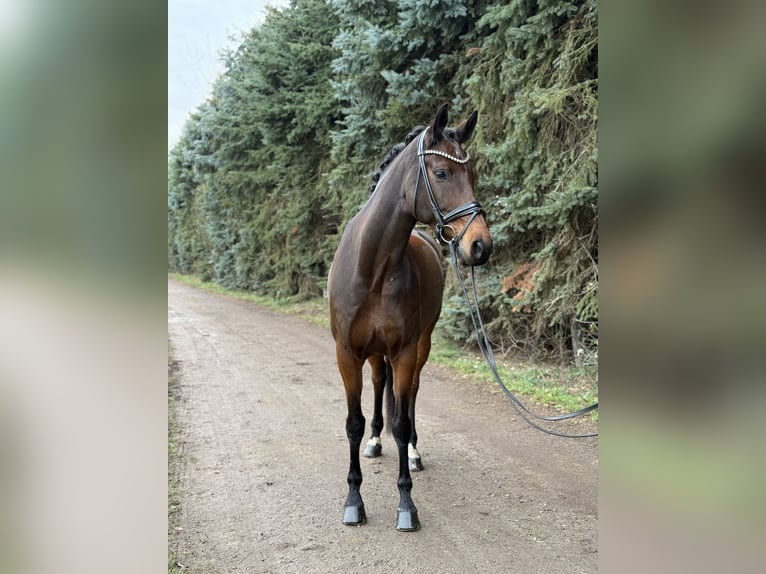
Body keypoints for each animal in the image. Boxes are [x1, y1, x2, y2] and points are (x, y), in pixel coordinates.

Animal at [328, 103, 492, 531]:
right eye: (442, 173)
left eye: (473, 174)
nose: (480, 246)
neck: (373, 268)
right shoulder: (347, 353)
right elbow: (352, 423)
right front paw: (354, 500)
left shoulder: (403, 350)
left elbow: (402, 421)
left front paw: (406, 505)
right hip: (373, 354)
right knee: (378, 384)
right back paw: (374, 441)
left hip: (421, 345)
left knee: (412, 394)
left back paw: (415, 453)